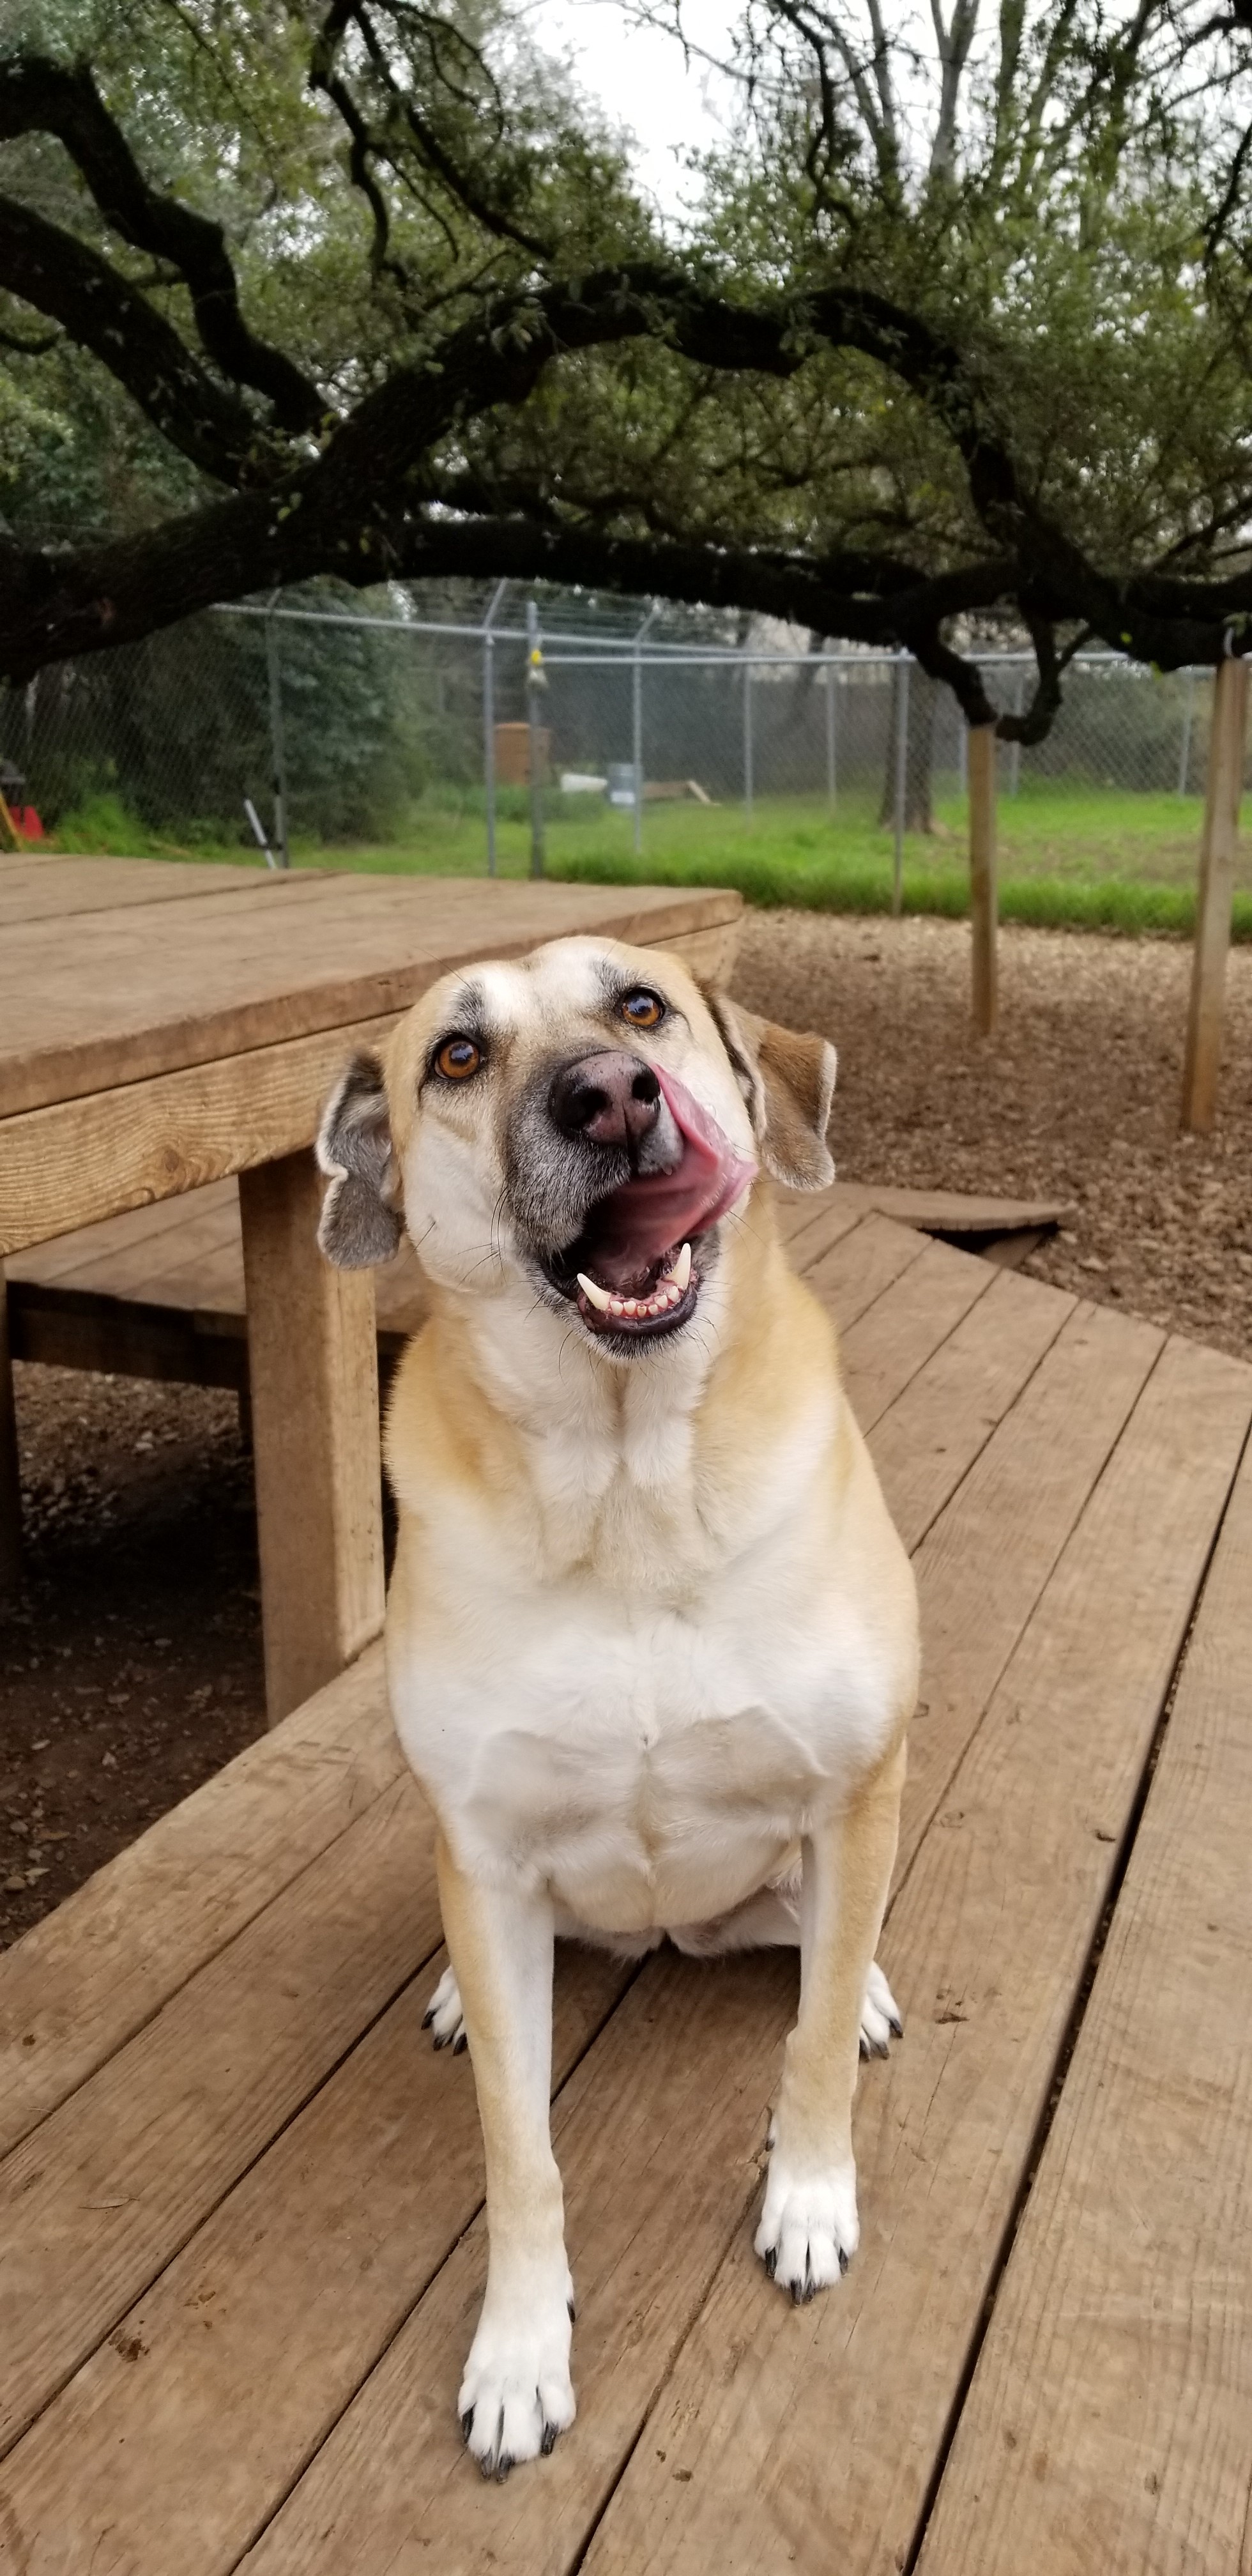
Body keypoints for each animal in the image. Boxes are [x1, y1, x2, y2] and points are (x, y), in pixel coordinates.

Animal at [316, 933, 918, 2477]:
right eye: (456, 1056)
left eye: (641, 1005)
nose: (607, 1095)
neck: (628, 1485)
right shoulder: (484, 1851)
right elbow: (516, 2150)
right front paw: (520, 2348)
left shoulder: (849, 1792)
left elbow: (809, 2045)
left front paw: (808, 2198)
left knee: (822, 1945)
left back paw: (866, 1981)